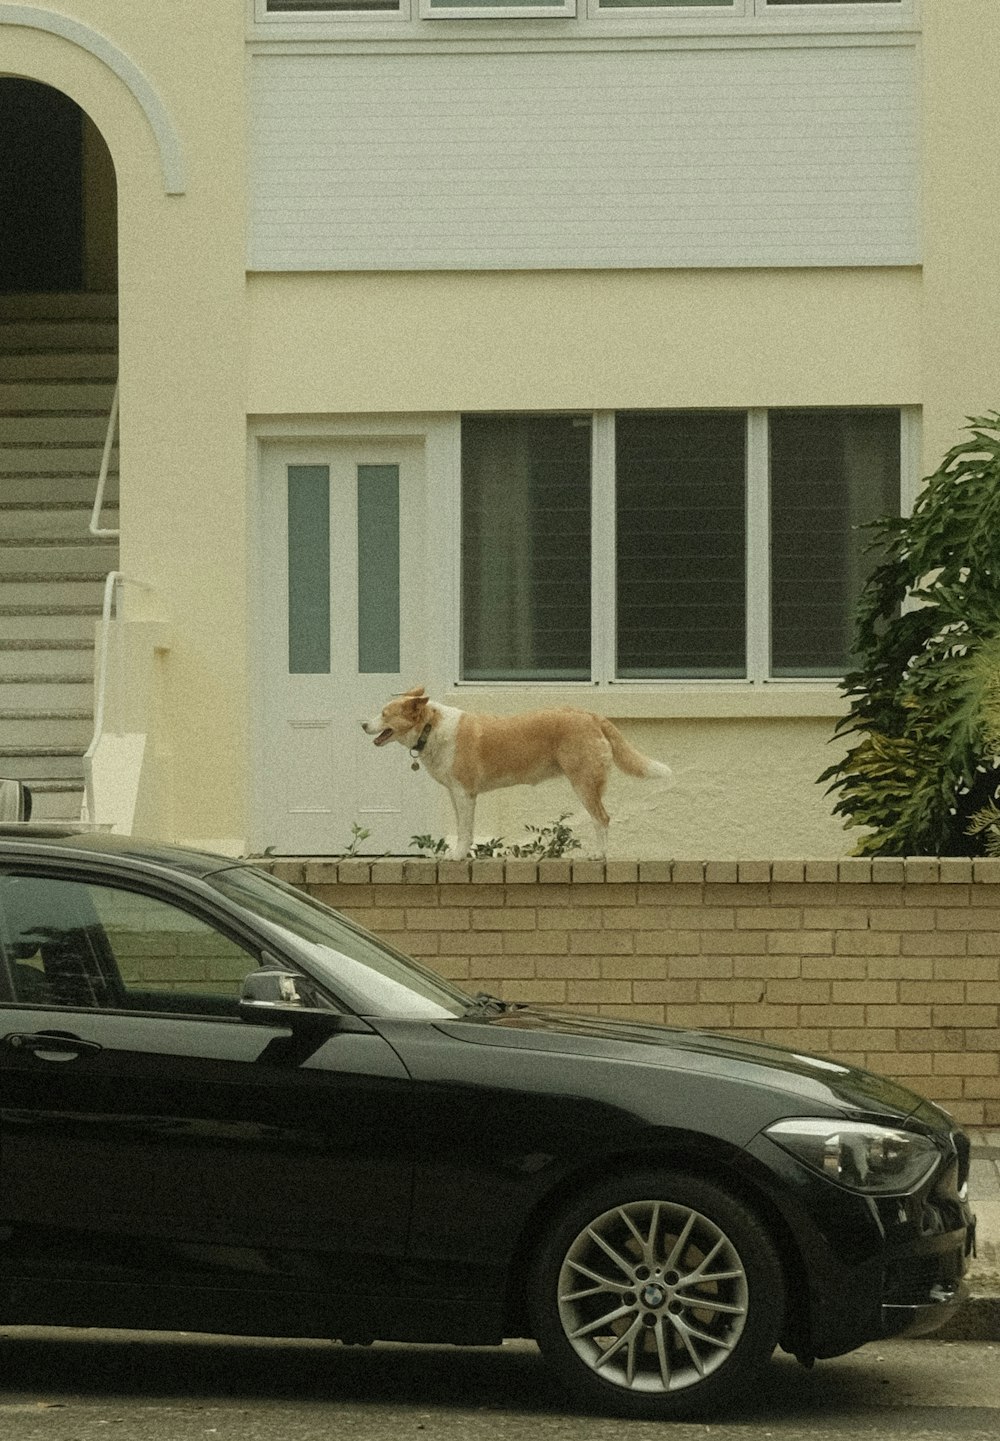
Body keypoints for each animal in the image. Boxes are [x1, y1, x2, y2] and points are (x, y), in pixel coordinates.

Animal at [361, 683, 674, 853]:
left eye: (385, 714)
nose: (363, 724)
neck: (431, 727)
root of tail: (590, 715)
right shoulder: (455, 793)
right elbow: (462, 828)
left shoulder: (465, 793)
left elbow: (464, 831)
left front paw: (457, 856)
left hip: (583, 782)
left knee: (603, 819)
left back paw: (600, 856)